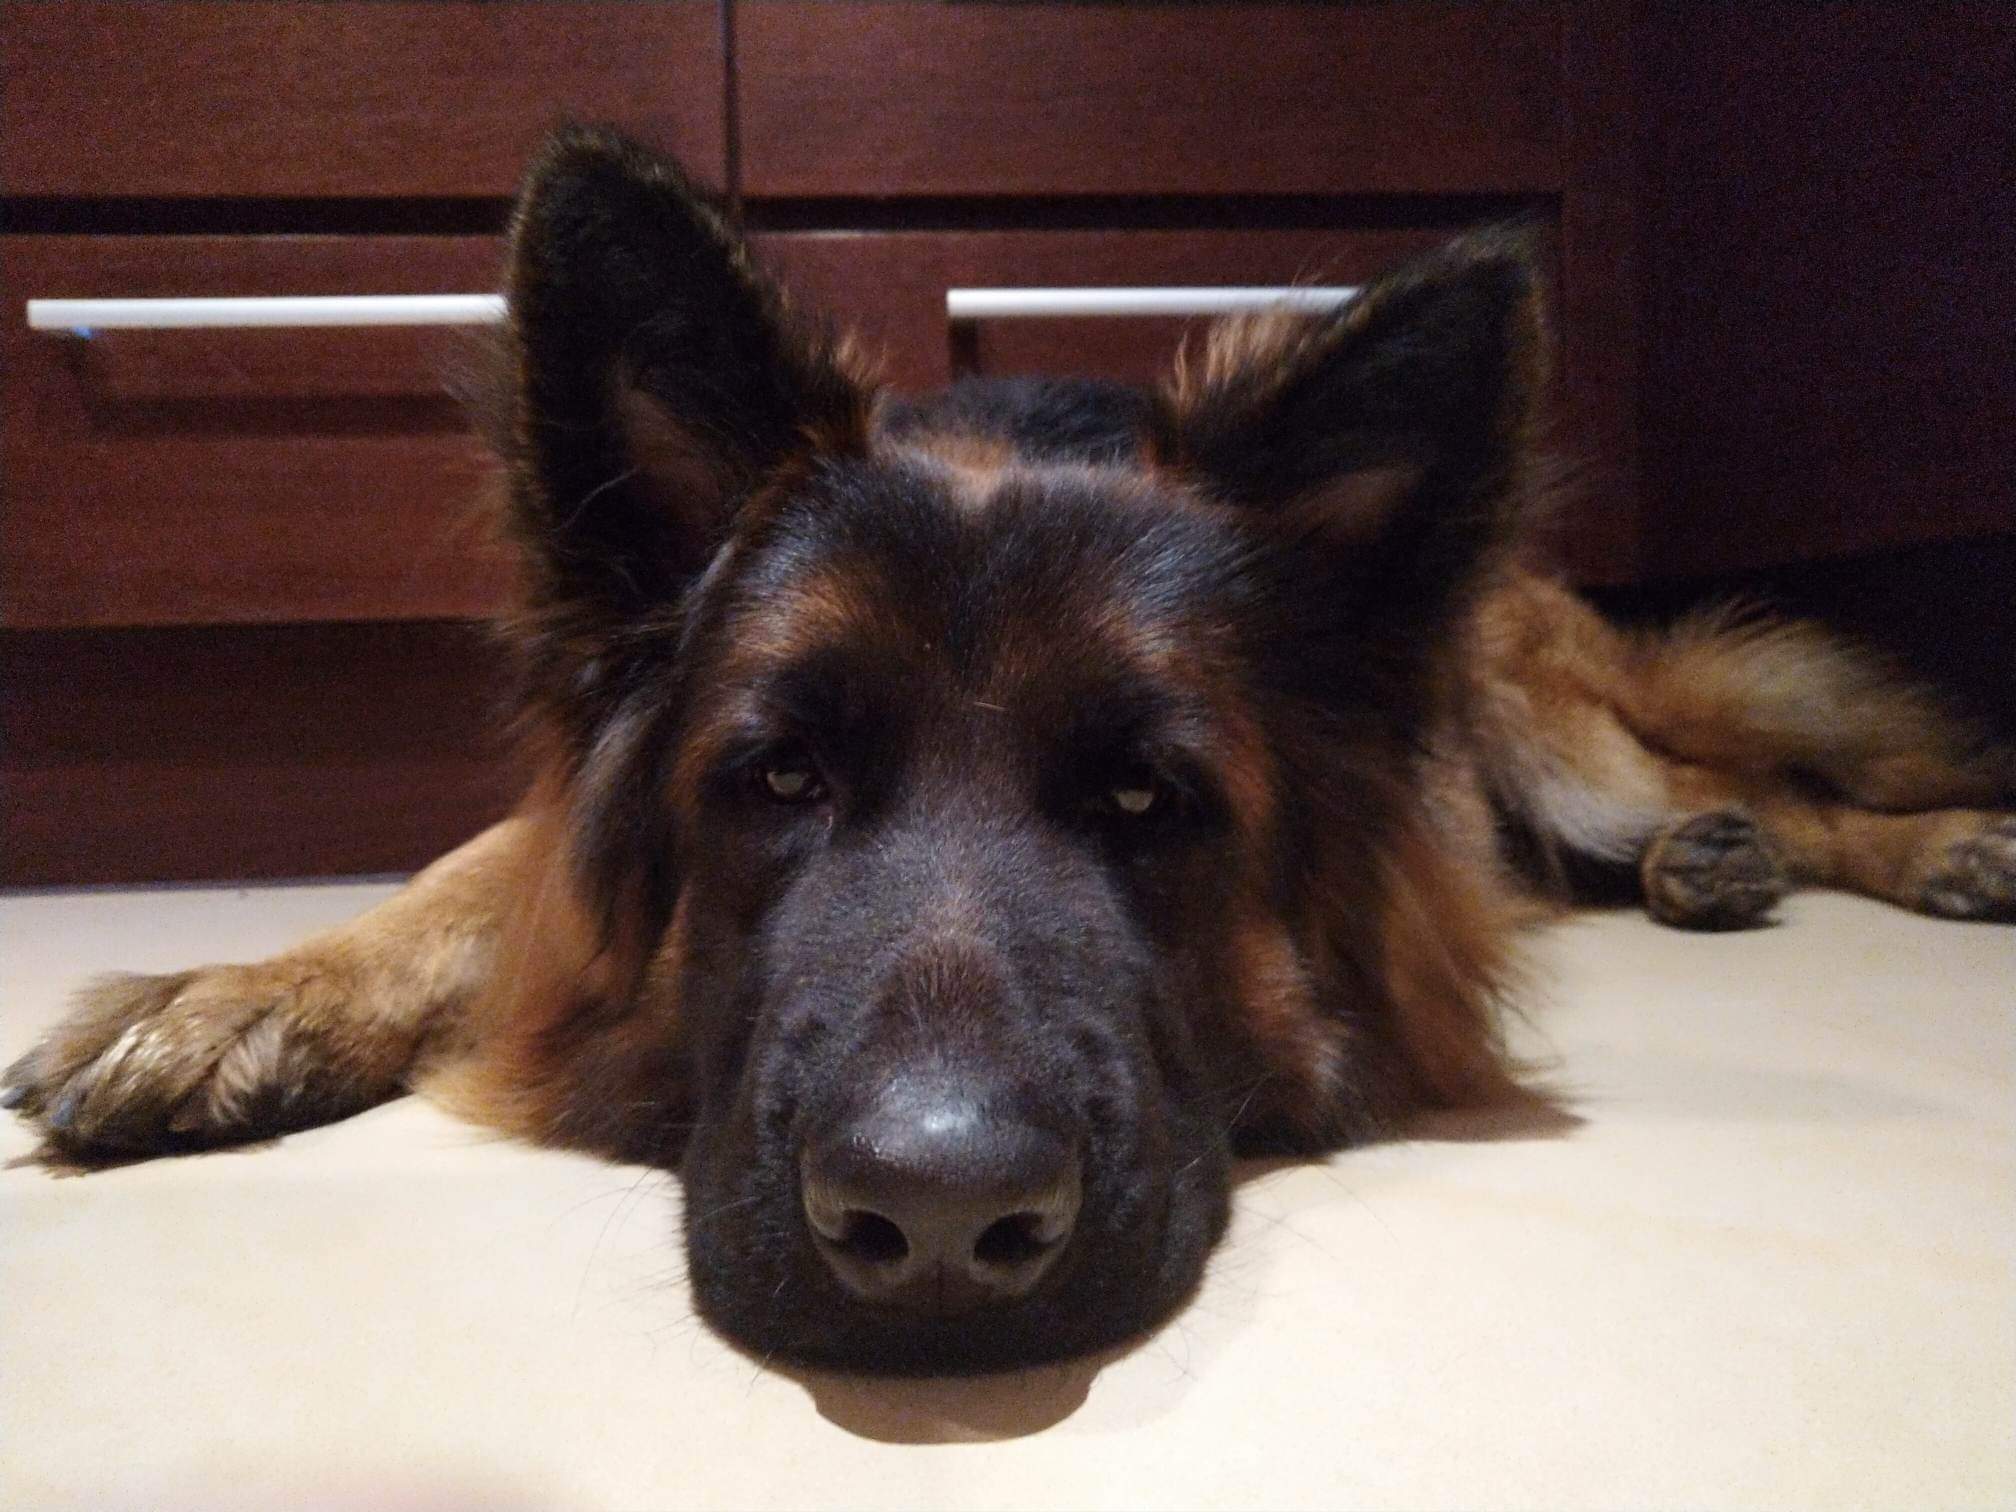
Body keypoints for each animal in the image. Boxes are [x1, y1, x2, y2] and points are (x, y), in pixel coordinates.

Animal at [7, 127, 2013, 1373]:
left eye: (1149, 798)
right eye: (776, 782)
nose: (938, 1222)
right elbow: (444, 885)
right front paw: (239, 998)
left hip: (1566, 733)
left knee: (1774, 781)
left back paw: (1909, 844)